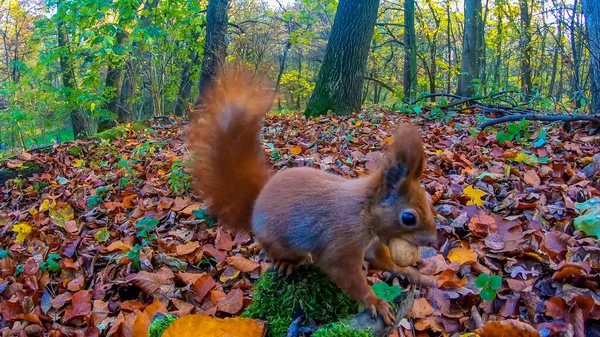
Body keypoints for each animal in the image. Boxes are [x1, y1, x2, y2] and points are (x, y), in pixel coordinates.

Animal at [188, 66, 436, 326]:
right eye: (408, 218)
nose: (433, 240)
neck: (363, 213)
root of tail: (257, 201)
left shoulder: (371, 246)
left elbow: (386, 262)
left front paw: (415, 274)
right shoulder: (341, 243)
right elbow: (346, 275)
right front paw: (375, 302)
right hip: (278, 242)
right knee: (281, 256)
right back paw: (288, 263)